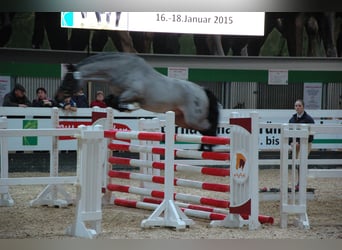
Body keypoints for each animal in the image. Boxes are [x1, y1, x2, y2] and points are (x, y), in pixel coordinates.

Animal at [58, 52, 219, 150]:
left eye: (69, 80)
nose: (57, 99)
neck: (120, 70)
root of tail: (202, 90)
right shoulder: (118, 94)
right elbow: (110, 101)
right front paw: (127, 108)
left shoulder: (132, 93)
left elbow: (118, 101)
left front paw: (131, 107)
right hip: (182, 119)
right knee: (205, 129)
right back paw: (205, 146)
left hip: (194, 119)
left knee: (209, 127)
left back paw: (209, 147)